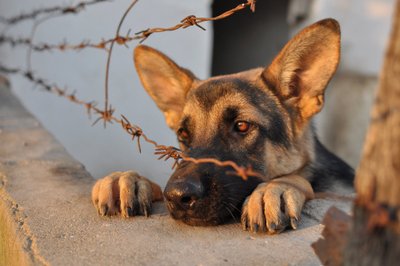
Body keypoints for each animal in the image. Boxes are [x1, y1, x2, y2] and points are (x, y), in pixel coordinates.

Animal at [93, 19, 354, 235]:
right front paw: (129, 179)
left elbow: (301, 180)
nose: (177, 196)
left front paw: (274, 189)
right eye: (183, 133)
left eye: (242, 126)